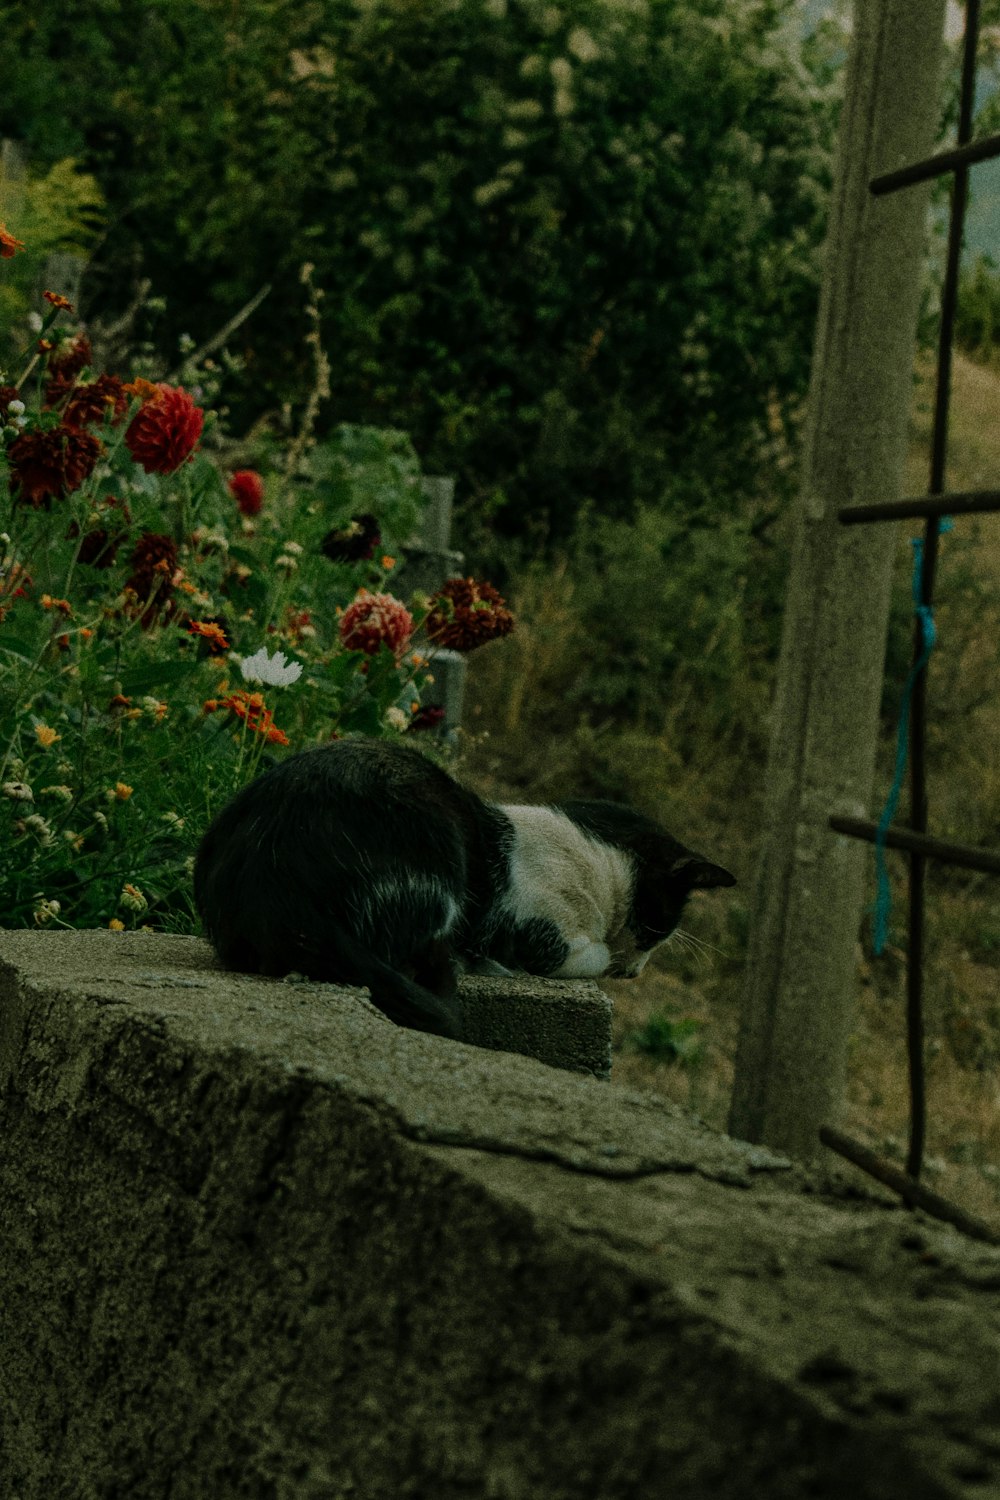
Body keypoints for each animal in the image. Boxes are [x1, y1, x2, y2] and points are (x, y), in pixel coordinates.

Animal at [194, 732, 740, 1038]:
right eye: (659, 930)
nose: (637, 974)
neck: (590, 860)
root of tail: (271, 882)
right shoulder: (541, 938)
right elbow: (592, 954)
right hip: (437, 852)